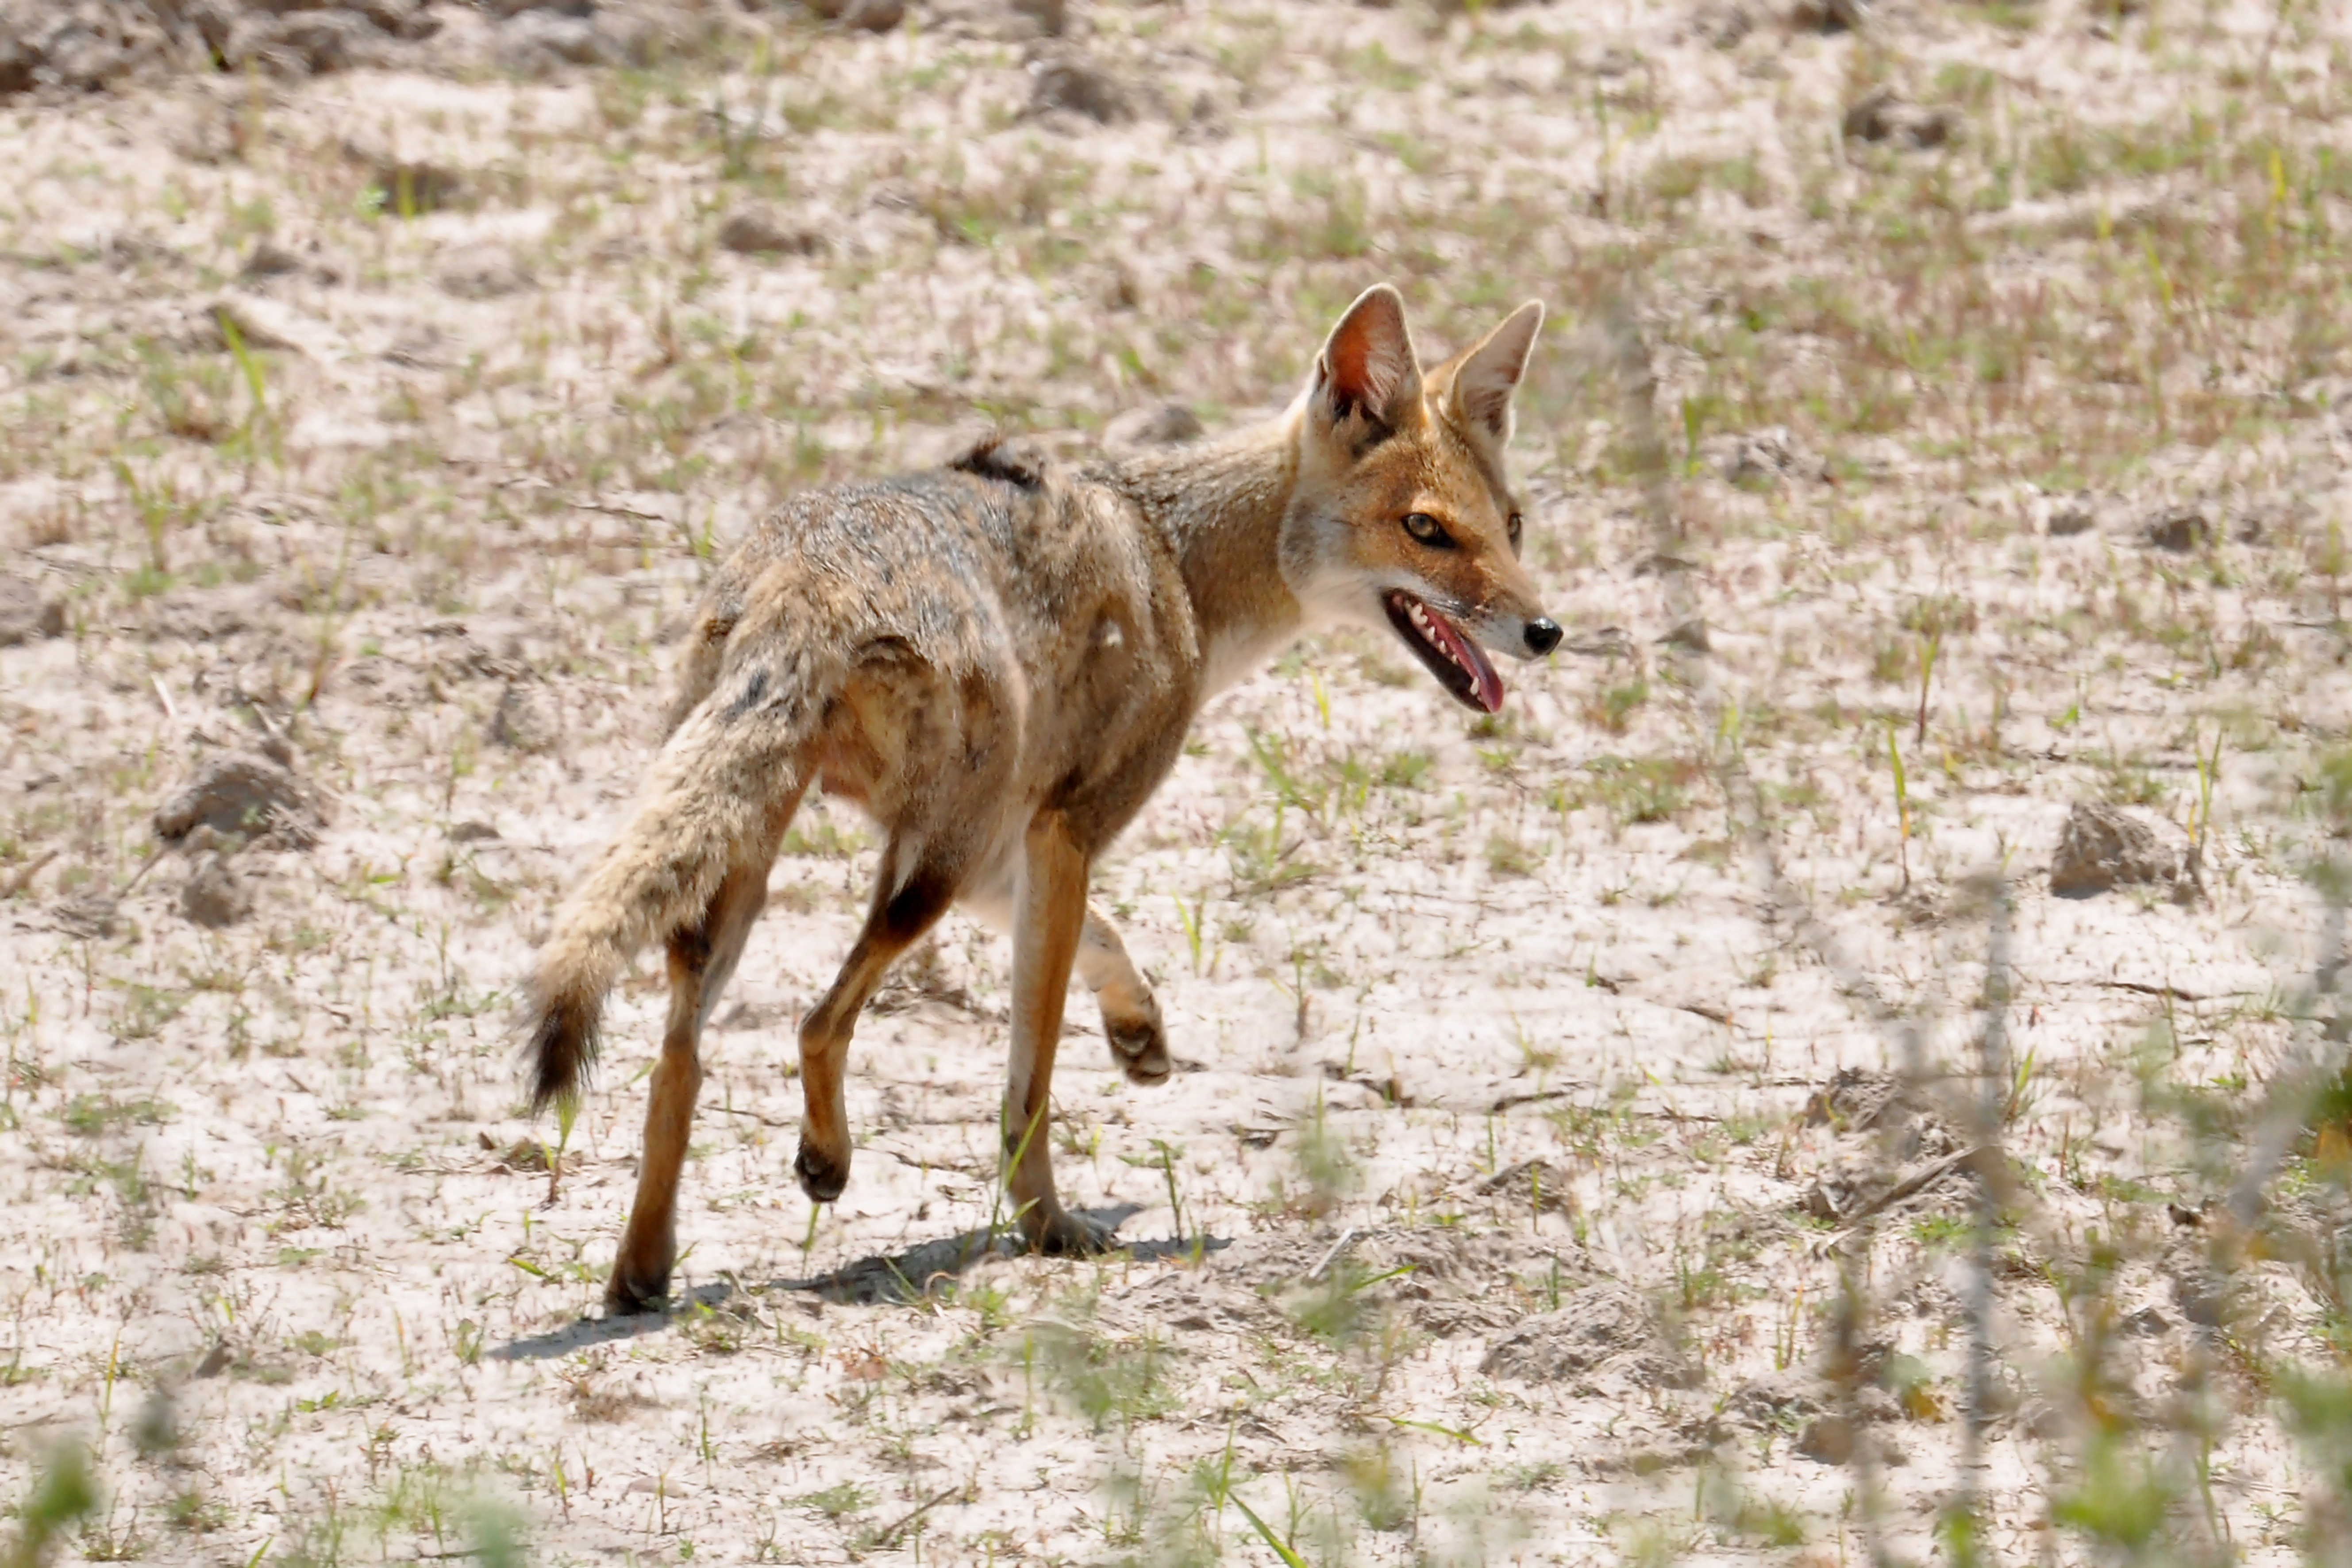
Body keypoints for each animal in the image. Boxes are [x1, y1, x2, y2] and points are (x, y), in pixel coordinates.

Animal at [524, 285, 1571, 1316]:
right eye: (1427, 530)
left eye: (1511, 526)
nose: (1547, 631)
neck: (1178, 564)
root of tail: (802, 574)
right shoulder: (1064, 831)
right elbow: (1028, 1079)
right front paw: (1048, 1223)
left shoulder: (1015, 846)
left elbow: (1108, 944)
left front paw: (1139, 1031)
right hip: (923, 872)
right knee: (817, 1021)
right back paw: (826, 1162)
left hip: (770, 875)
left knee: (677, 1062)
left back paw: (641, 1270)